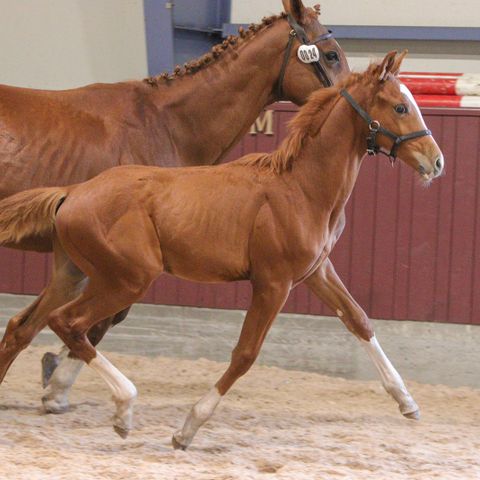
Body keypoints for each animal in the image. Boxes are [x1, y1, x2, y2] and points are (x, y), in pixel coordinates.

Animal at [0, 53, 442, 450]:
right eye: (400, 106)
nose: (436, 162)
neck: (300, 187)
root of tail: (72, 192)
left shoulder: (316, 272)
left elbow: (359, 320)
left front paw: (407, 402)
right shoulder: (273, 283)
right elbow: (245, 353)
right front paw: (187, 429)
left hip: (75, 274)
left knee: (25, 325)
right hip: (127, 279)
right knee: (68, 323)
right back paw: (123, 408)